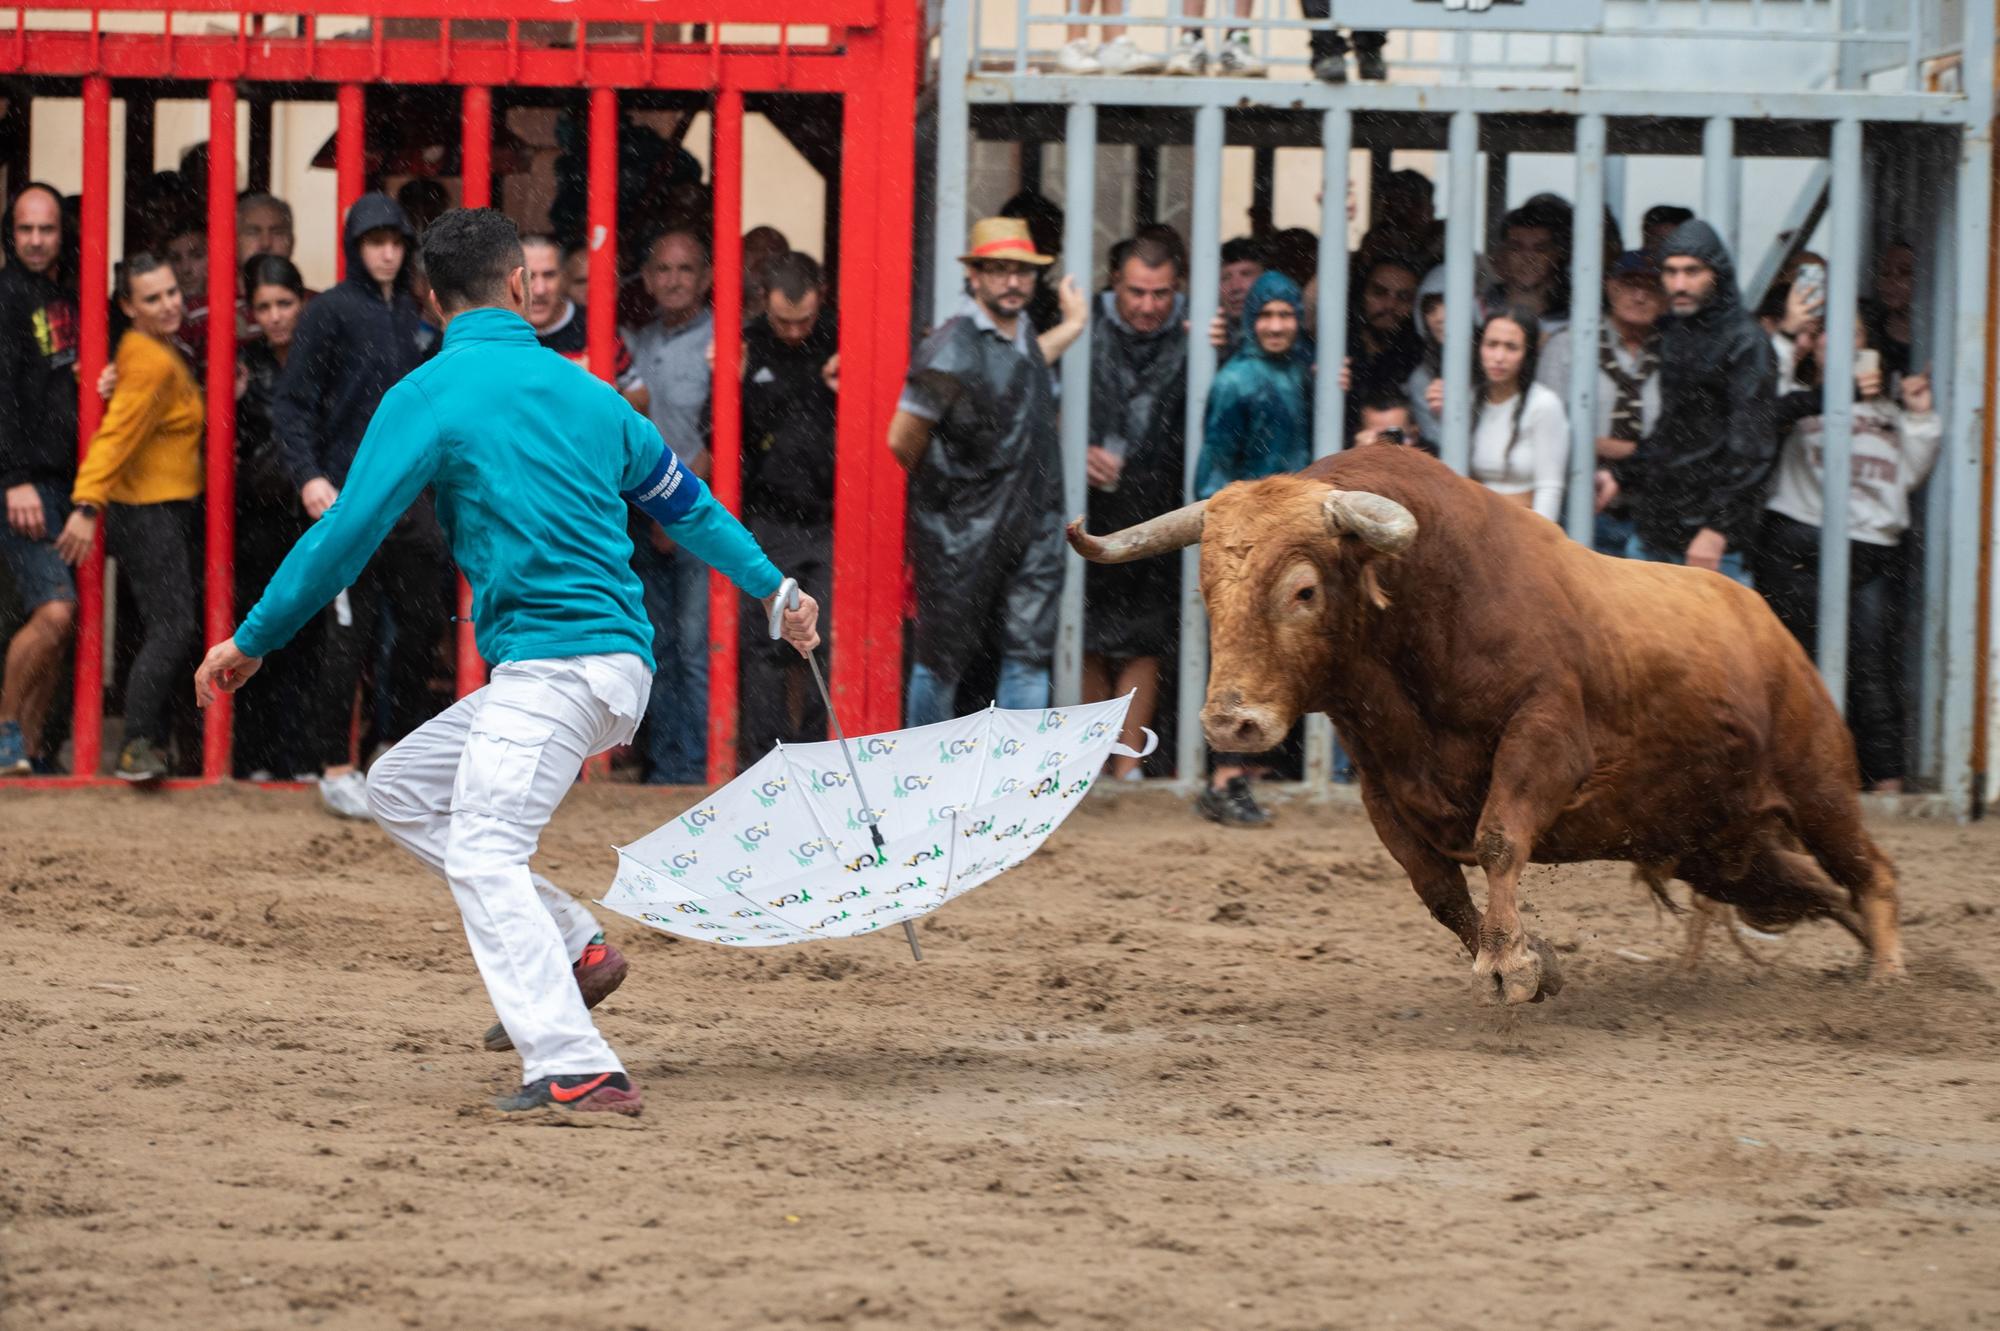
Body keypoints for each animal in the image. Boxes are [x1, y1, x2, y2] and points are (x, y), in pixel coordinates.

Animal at [1072, 439, 1896, 999]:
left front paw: (1508, 962)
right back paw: (1866, 964)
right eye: (1208, 591)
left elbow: (1499, 837)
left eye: (1303, 590)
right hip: (1718, 846)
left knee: (1871, 872)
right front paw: (1537, 961)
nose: (1230, 725)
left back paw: (1889, 977)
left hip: (1817, 785)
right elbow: (1434, 885)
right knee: (1820, 889)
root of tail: (1771, 628)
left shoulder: (1547, 737)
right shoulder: (1382, 784)